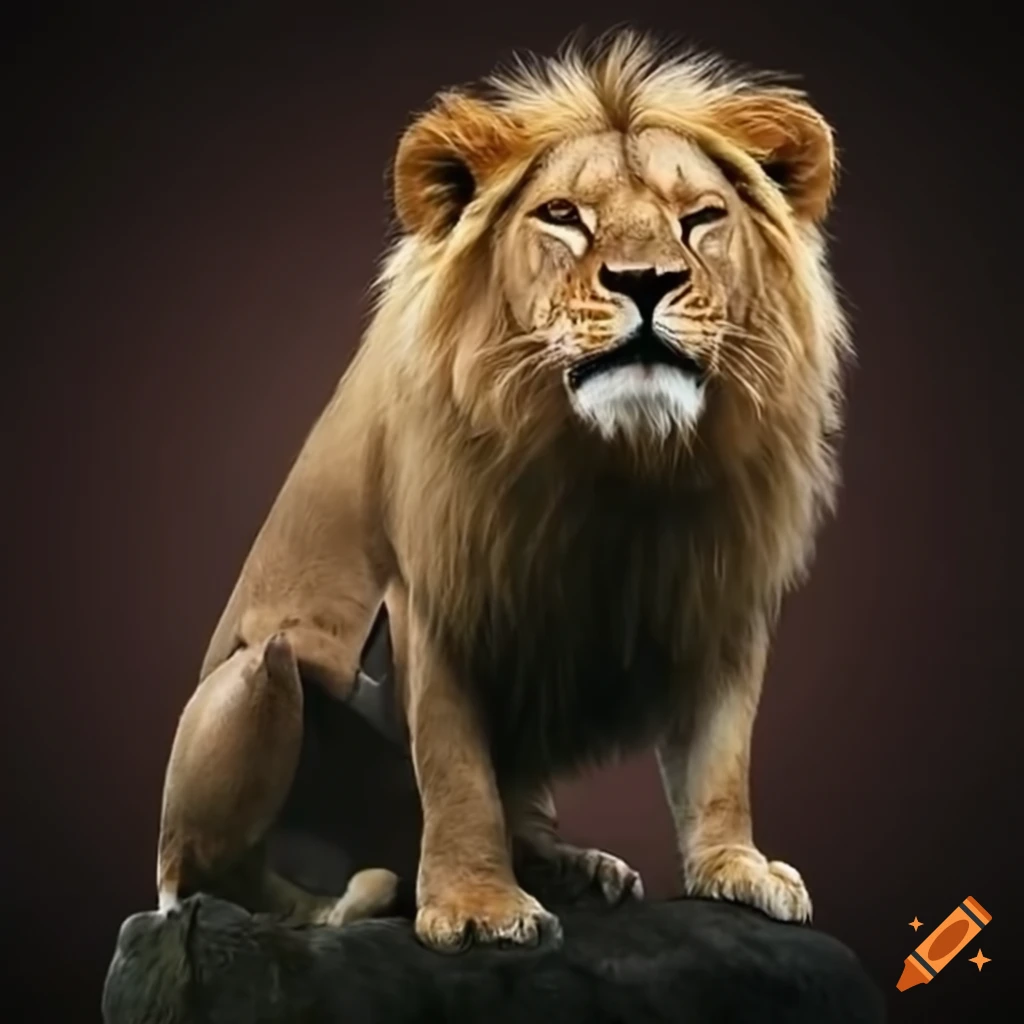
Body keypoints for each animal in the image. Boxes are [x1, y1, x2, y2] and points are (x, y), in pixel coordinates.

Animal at [155, 29, 851, 952]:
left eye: (701, 218)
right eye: (562, 215)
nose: (646, 282)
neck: (620, 461)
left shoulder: (722, 590)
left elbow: (721, 757)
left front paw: (735, 868)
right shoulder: (434, 595)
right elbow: (457, 770)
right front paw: (478, 908)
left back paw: (571, 869)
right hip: (252, 681)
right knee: (204, 872)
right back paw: (328, 904)